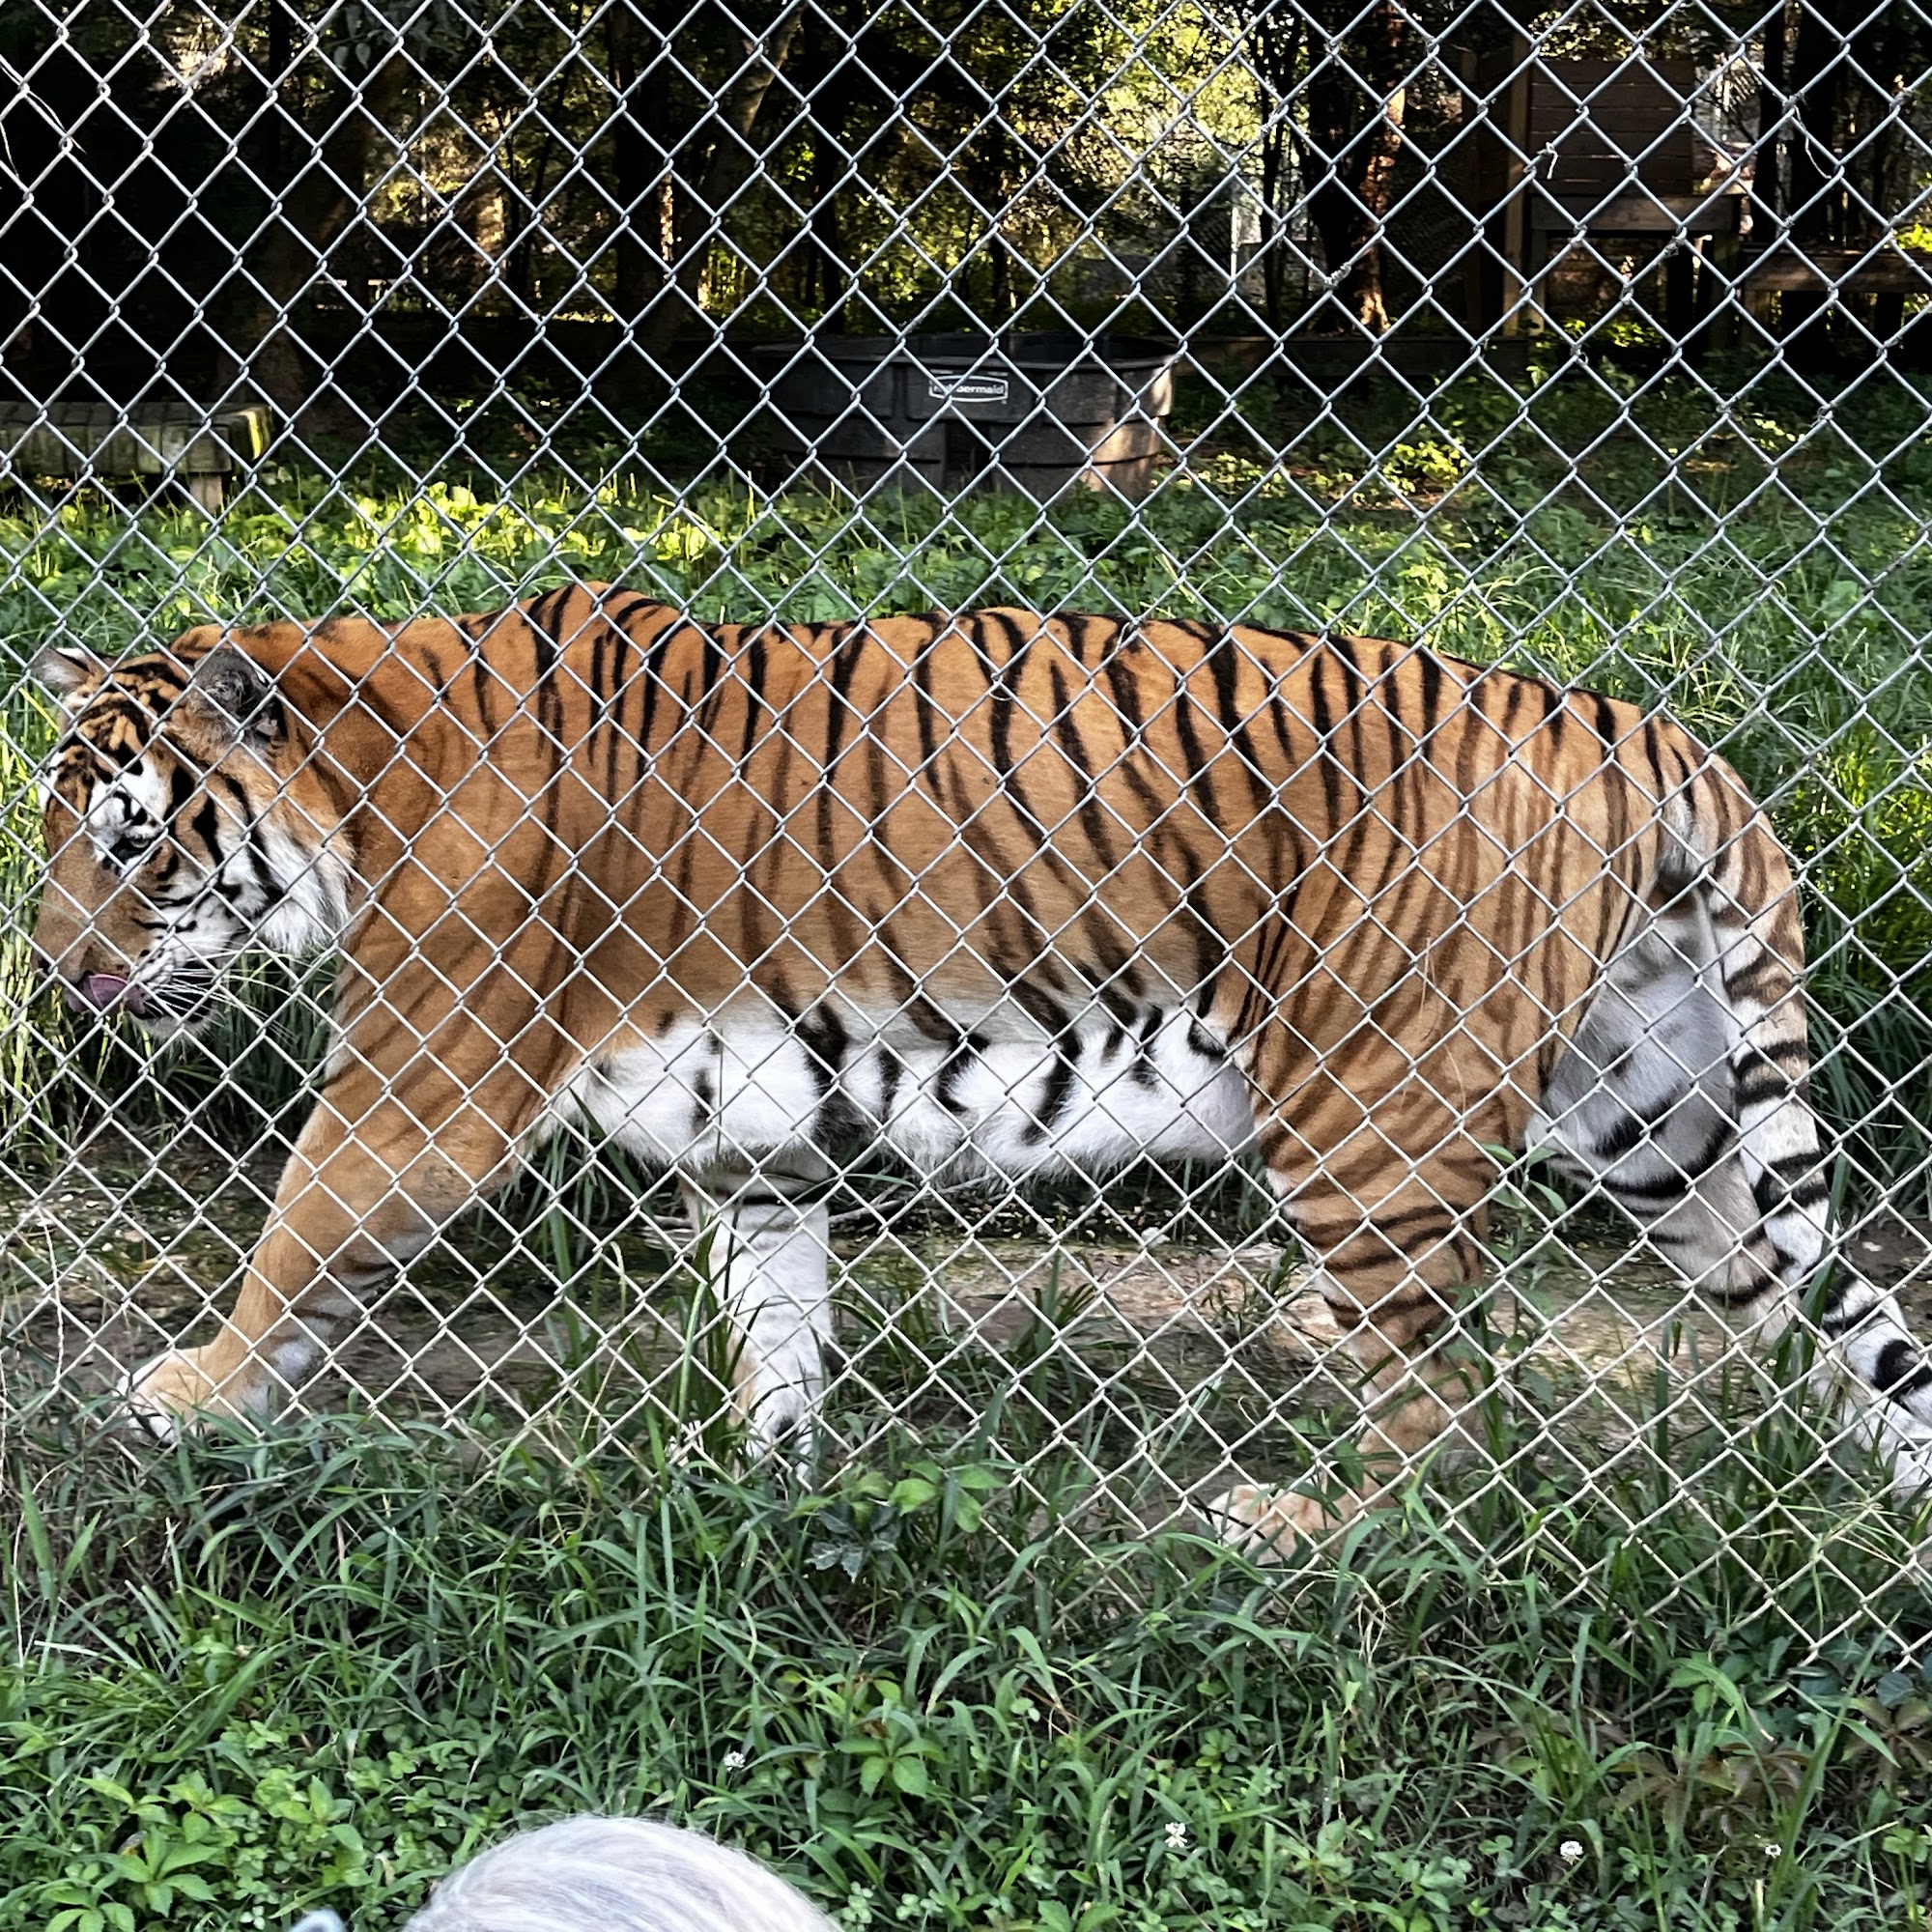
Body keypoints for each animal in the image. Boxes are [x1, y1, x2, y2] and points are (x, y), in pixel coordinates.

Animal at [28, 582, 1932, 1544]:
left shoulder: (421, 1081)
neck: (361, 786)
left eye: (130, 845)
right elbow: (775, 1316)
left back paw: (1303, 1530)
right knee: (1830, 1319)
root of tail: (1634, 724)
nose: (52, 972)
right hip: (1660, 1118)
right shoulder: (758, 1127)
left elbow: (295, 1228)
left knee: (1451, 1401)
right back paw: (1882, 1505)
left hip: (1371, 1124)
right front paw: (765, 1484)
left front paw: (189, 1388)